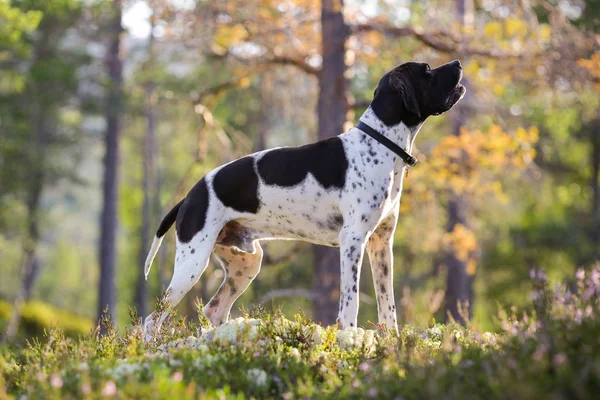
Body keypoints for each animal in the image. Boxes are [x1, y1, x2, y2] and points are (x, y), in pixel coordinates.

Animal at [143, 60, 466, 340]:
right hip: (192, 264)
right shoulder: (353, 241)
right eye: (426, 69)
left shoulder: (381, 245)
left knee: (214, 310)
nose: (458, 63)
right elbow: (350, 303)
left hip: (246, 264)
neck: (379, 142)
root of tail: (190, 195)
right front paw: (349, 339)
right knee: (151, 320)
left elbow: (388, 306)